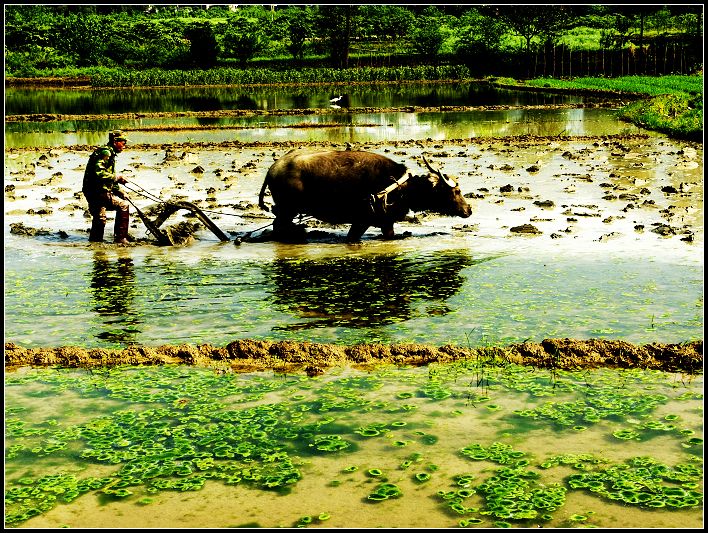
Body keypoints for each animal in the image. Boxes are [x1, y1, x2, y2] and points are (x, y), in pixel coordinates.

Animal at [258, 149, 472, 242]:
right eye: (456, 191)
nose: (469, 210)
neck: (399, 188)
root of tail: (272, 170)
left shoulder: (386, 222)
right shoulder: (361, 220)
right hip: (287, 210)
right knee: (279, 227)